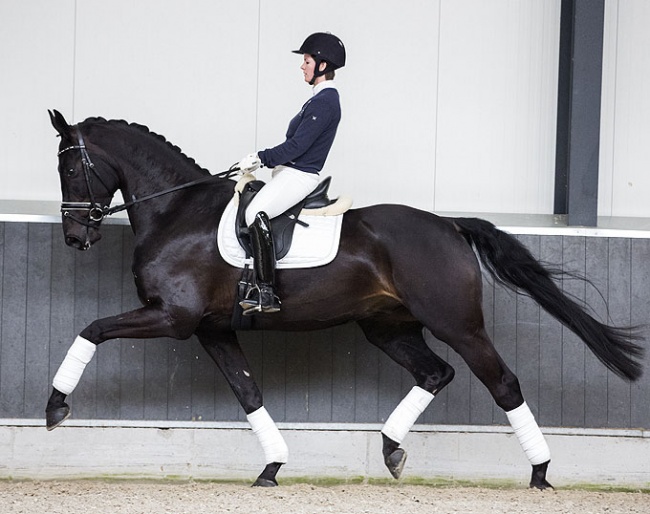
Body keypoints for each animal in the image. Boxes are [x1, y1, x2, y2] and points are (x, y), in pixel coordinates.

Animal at [46, 110, 644, 486]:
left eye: (70, 166)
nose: (75, 237)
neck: (177, 211)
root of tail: (449, 225)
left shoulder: (172, 317)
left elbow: (90, 329)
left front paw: (56, 407)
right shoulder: (212, 328)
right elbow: (248, 393)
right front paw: (272, 468)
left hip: (457, 324)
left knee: (503, 383)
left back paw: (540, 474)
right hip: (386, 326)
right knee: (436, 373)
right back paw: (391, 449)